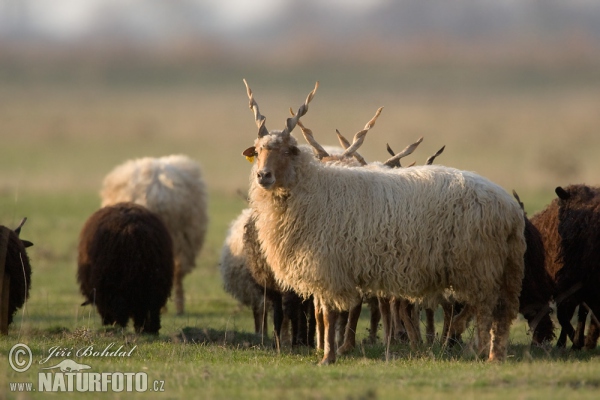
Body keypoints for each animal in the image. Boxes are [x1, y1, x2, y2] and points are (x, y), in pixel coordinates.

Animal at [77, 203, 173, 334]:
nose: (106, 322)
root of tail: (130, 229)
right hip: (155, 282)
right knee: (152, 309)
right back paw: (150, 330)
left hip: (117, 283)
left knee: (122, 309)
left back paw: (123, 328)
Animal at [241, 79, 528, 364]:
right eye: (258, 151)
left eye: (287, 150)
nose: (263, 175)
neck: (313, 188)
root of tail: (509, 208)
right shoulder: (325, 268)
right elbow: (324, 313)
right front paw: (326, 351)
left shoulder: (328, 265)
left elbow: (331, 315)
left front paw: (328, 357)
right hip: (501, 267)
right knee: (501, 313)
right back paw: (494, 354)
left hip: (480, 264)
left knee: (486, 309)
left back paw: (483, 353)